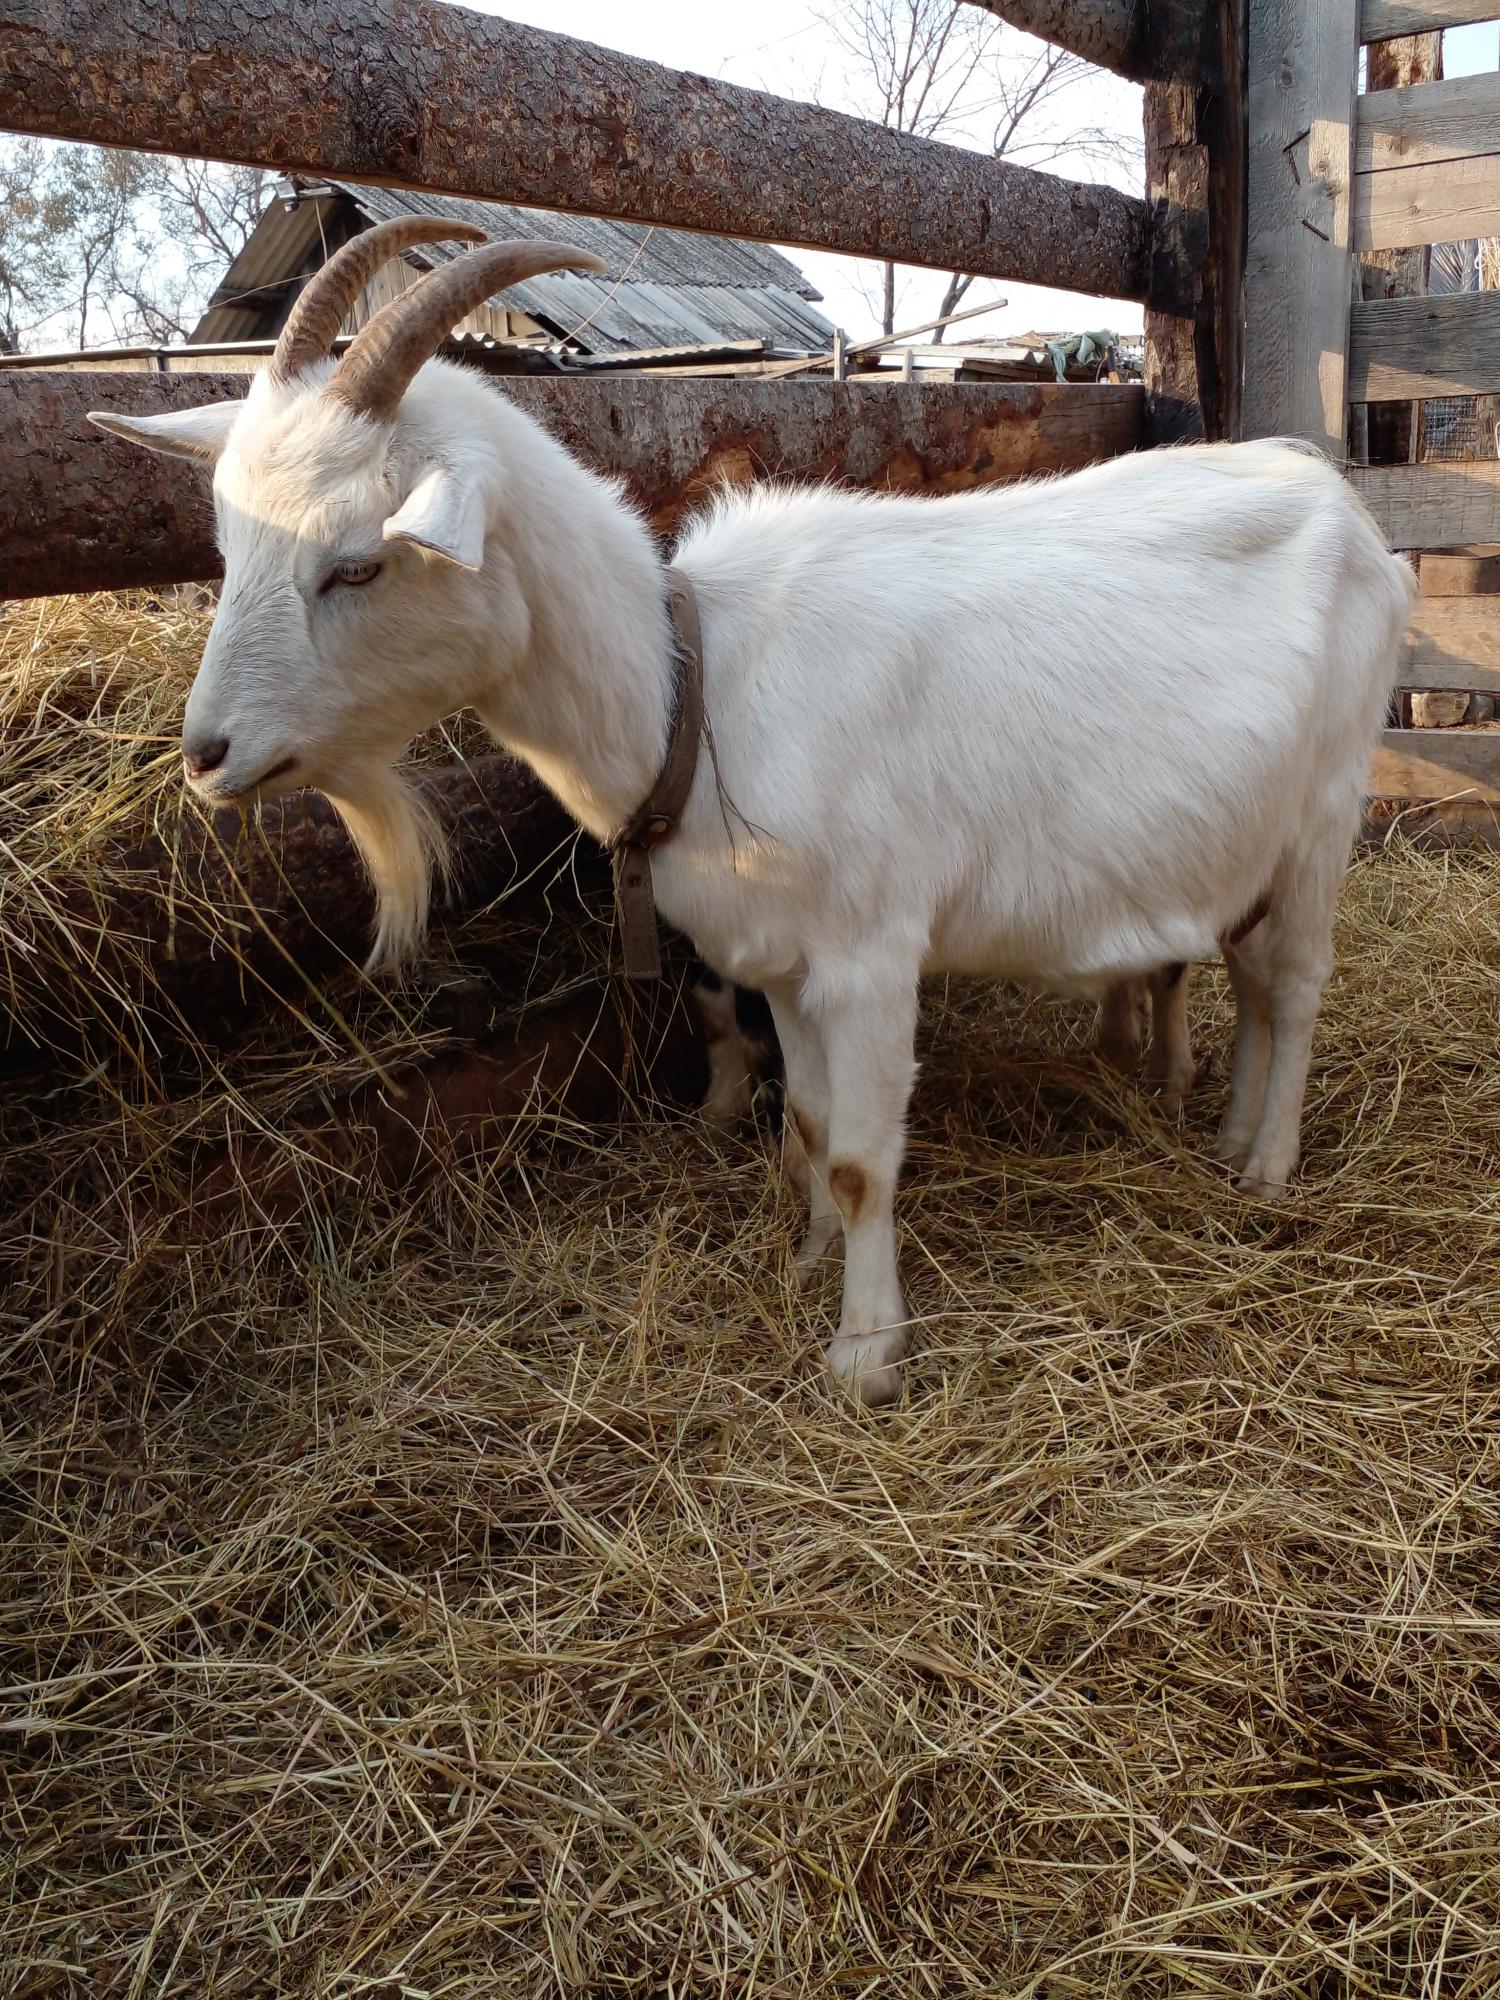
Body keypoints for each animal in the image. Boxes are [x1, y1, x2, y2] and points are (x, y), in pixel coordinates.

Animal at [97, 223, 1424, 1408]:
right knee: (1250, 976)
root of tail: (1354, 515)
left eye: (358, 563)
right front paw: (806, 1259)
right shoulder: (782, 962)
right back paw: (1230, 1134)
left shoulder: (871, 955)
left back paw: (1268, 1164)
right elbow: (810, 1124)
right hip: (1249, 831)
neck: (694, 685)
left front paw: (865, 1355)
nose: (208, 754)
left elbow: (862, 1155)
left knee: (1298, 981)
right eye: (226, 542)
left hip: (1327, 806)